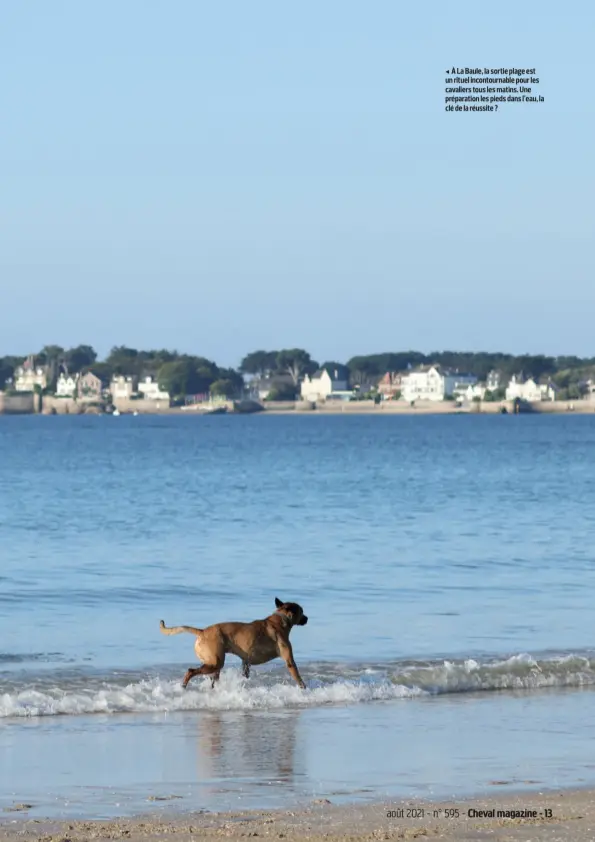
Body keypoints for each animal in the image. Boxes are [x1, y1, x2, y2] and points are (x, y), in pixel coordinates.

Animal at [159, 592, 308, 684]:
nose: (307, 618)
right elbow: (298, 677)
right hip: (215, 662)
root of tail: (202, 632)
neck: (280, 620)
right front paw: (304, 689)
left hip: (214, 664)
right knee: (191, 671)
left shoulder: (246, 662)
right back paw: (183, 686)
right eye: (301, 611)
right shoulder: (289, 661)